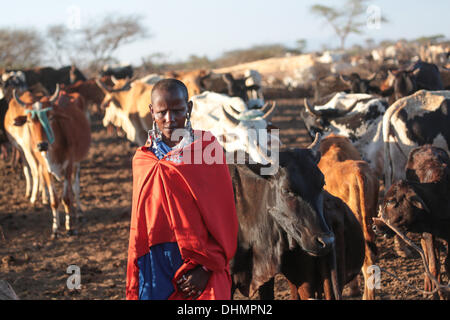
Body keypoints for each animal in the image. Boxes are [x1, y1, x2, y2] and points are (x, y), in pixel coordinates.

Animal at [4, 85, 91, 238]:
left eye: (50, 117)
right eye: (29, 120)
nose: (42, 145)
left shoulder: (68, 167)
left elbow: (67, 198)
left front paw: (69, 227)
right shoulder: (46, 169)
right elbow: (54, 200)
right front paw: (55, 229)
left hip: (76, 164)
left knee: (76, 187)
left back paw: (79, 212)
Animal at [376, 145, 450, 300]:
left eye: (391, 201)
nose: (375, 226)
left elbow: (447, 264)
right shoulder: (429, 233)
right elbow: (433, 265)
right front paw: (437, 294)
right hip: (425, 235)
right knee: (429, 258)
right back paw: (429, 287)